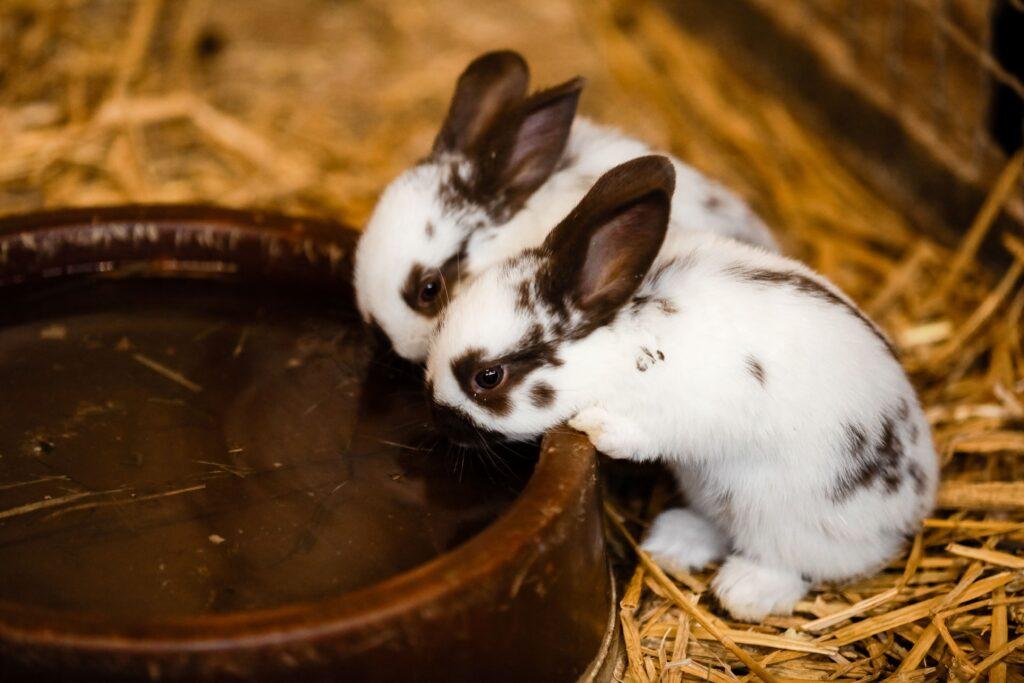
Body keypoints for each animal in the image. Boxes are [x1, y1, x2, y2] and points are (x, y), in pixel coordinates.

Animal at [423, 156, 937, 626]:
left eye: (488, 377)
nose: (437, 417)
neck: (619, 341)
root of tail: (917, 500)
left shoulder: (698, 406)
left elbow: (650, 432)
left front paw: (597, 426)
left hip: (785, 516)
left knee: (797, 563)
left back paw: (744, 590)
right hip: (711, 489)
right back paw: (671, 541)